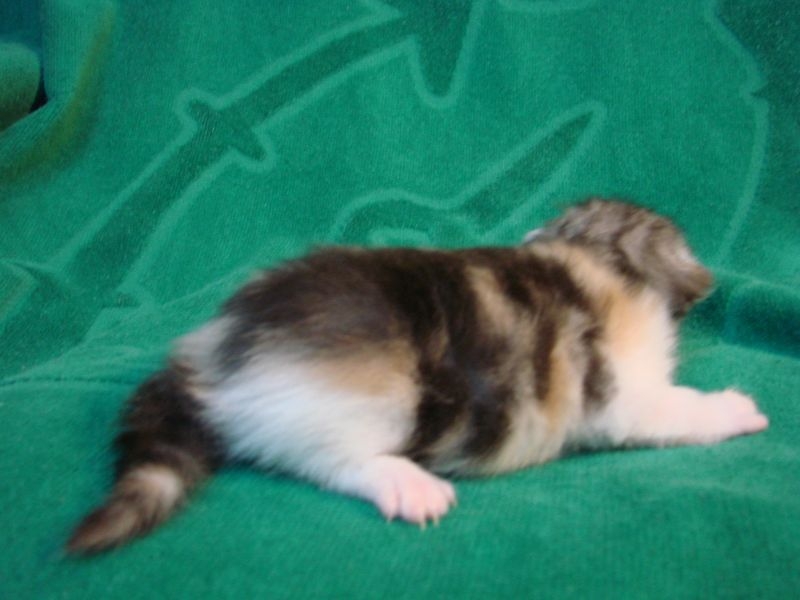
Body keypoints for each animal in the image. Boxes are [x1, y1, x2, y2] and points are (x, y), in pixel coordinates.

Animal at [66, 198, 768, 554]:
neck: (594, 254)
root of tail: (215, 349)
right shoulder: (625, 394)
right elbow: (677, 409)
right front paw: (734, 409)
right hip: (360, 402)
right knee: (328, 460)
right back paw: (406, 484)